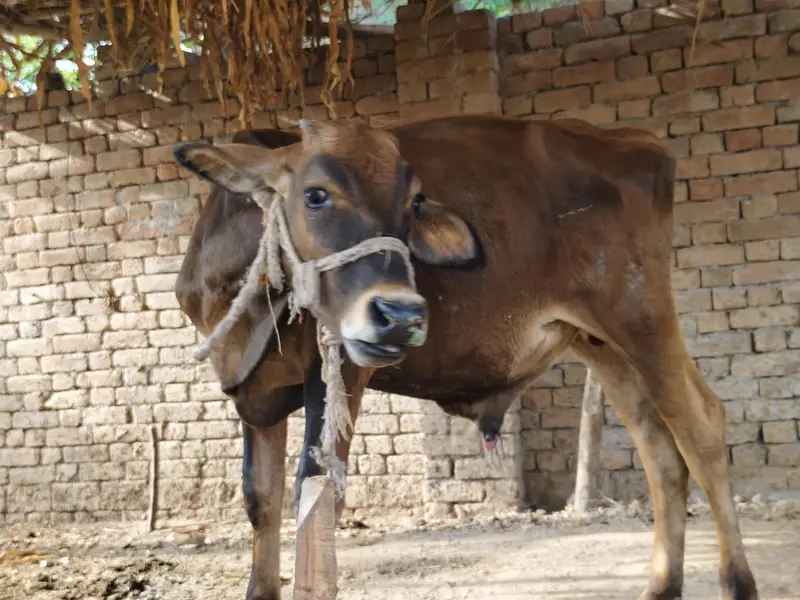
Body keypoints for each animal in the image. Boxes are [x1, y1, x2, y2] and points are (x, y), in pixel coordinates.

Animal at [172, 115, 758, 600]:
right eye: (315, 194)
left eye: (414, 202)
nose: (401, 315)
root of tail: (632, 139)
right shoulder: (252, 395)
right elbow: (261, 499)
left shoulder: (341, 370)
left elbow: (314, 495)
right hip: (602, 345)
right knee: (660, 451)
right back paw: (661, 586)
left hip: (643, 319)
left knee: (701, 429)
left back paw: (737, 583)